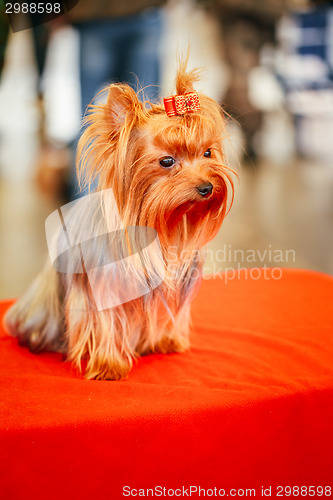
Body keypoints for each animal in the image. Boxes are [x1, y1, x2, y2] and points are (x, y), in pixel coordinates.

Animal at [3, 64, 235, 380]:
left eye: (208, 152)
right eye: (166, 161)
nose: (207, 187)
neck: (160, 226)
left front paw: (165, 340)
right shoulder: (103, 288)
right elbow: (105, 322)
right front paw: (108, 364)